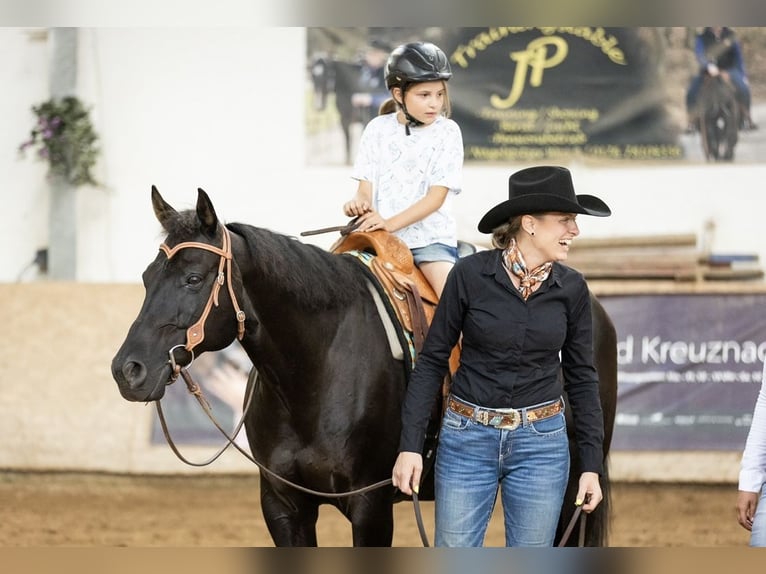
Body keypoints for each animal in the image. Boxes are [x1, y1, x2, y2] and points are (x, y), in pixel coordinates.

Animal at [111, 187, 618, 547]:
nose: (127, 370)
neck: (315, 374)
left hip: (573, 485)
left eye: (194, 278)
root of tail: (595, 307)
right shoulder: (282, 505)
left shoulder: (371, 506)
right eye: (146, 277)